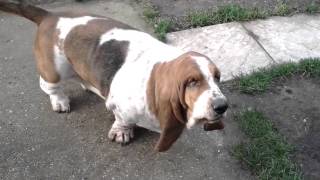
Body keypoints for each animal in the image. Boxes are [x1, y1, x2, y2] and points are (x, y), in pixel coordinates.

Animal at [1, 0, 229, 151]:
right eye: (192, 81)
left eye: (218, 77)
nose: (222, 106)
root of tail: (50, 15)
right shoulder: (119, 106)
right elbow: (122, 119)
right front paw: (122, 132)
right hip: (54, 71)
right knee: (49, 86)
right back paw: (59, 101)